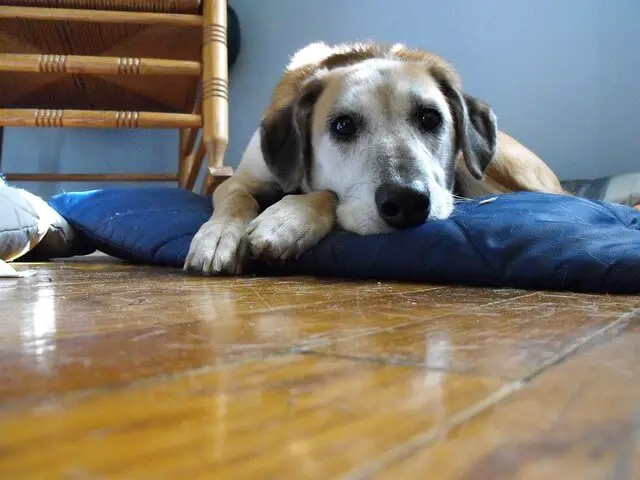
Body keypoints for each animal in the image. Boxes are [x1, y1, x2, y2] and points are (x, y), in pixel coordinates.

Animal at [185, 42, 564, 276]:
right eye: (342, 125)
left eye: (430, 118)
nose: (407, 202)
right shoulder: (241, 179)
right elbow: (236, 198)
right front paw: (219, 236)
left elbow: (327, 194)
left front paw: (286, 221)